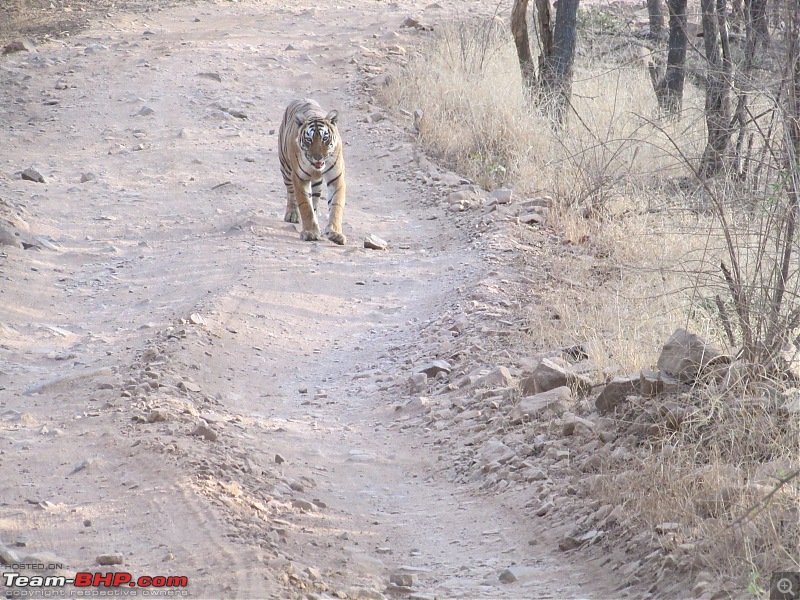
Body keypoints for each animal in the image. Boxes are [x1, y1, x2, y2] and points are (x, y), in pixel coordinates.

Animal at [280, 99, 346, 245]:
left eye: (325, 138)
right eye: (309, 139)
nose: (318, 158)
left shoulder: (336, 178)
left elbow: (336, 206)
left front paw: (335, 233)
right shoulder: (299, 178)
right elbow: (305, 206)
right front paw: (310, 232)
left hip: (316, 183)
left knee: (314, 201)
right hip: (286, 168)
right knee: (291, 193)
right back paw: (292, 214)